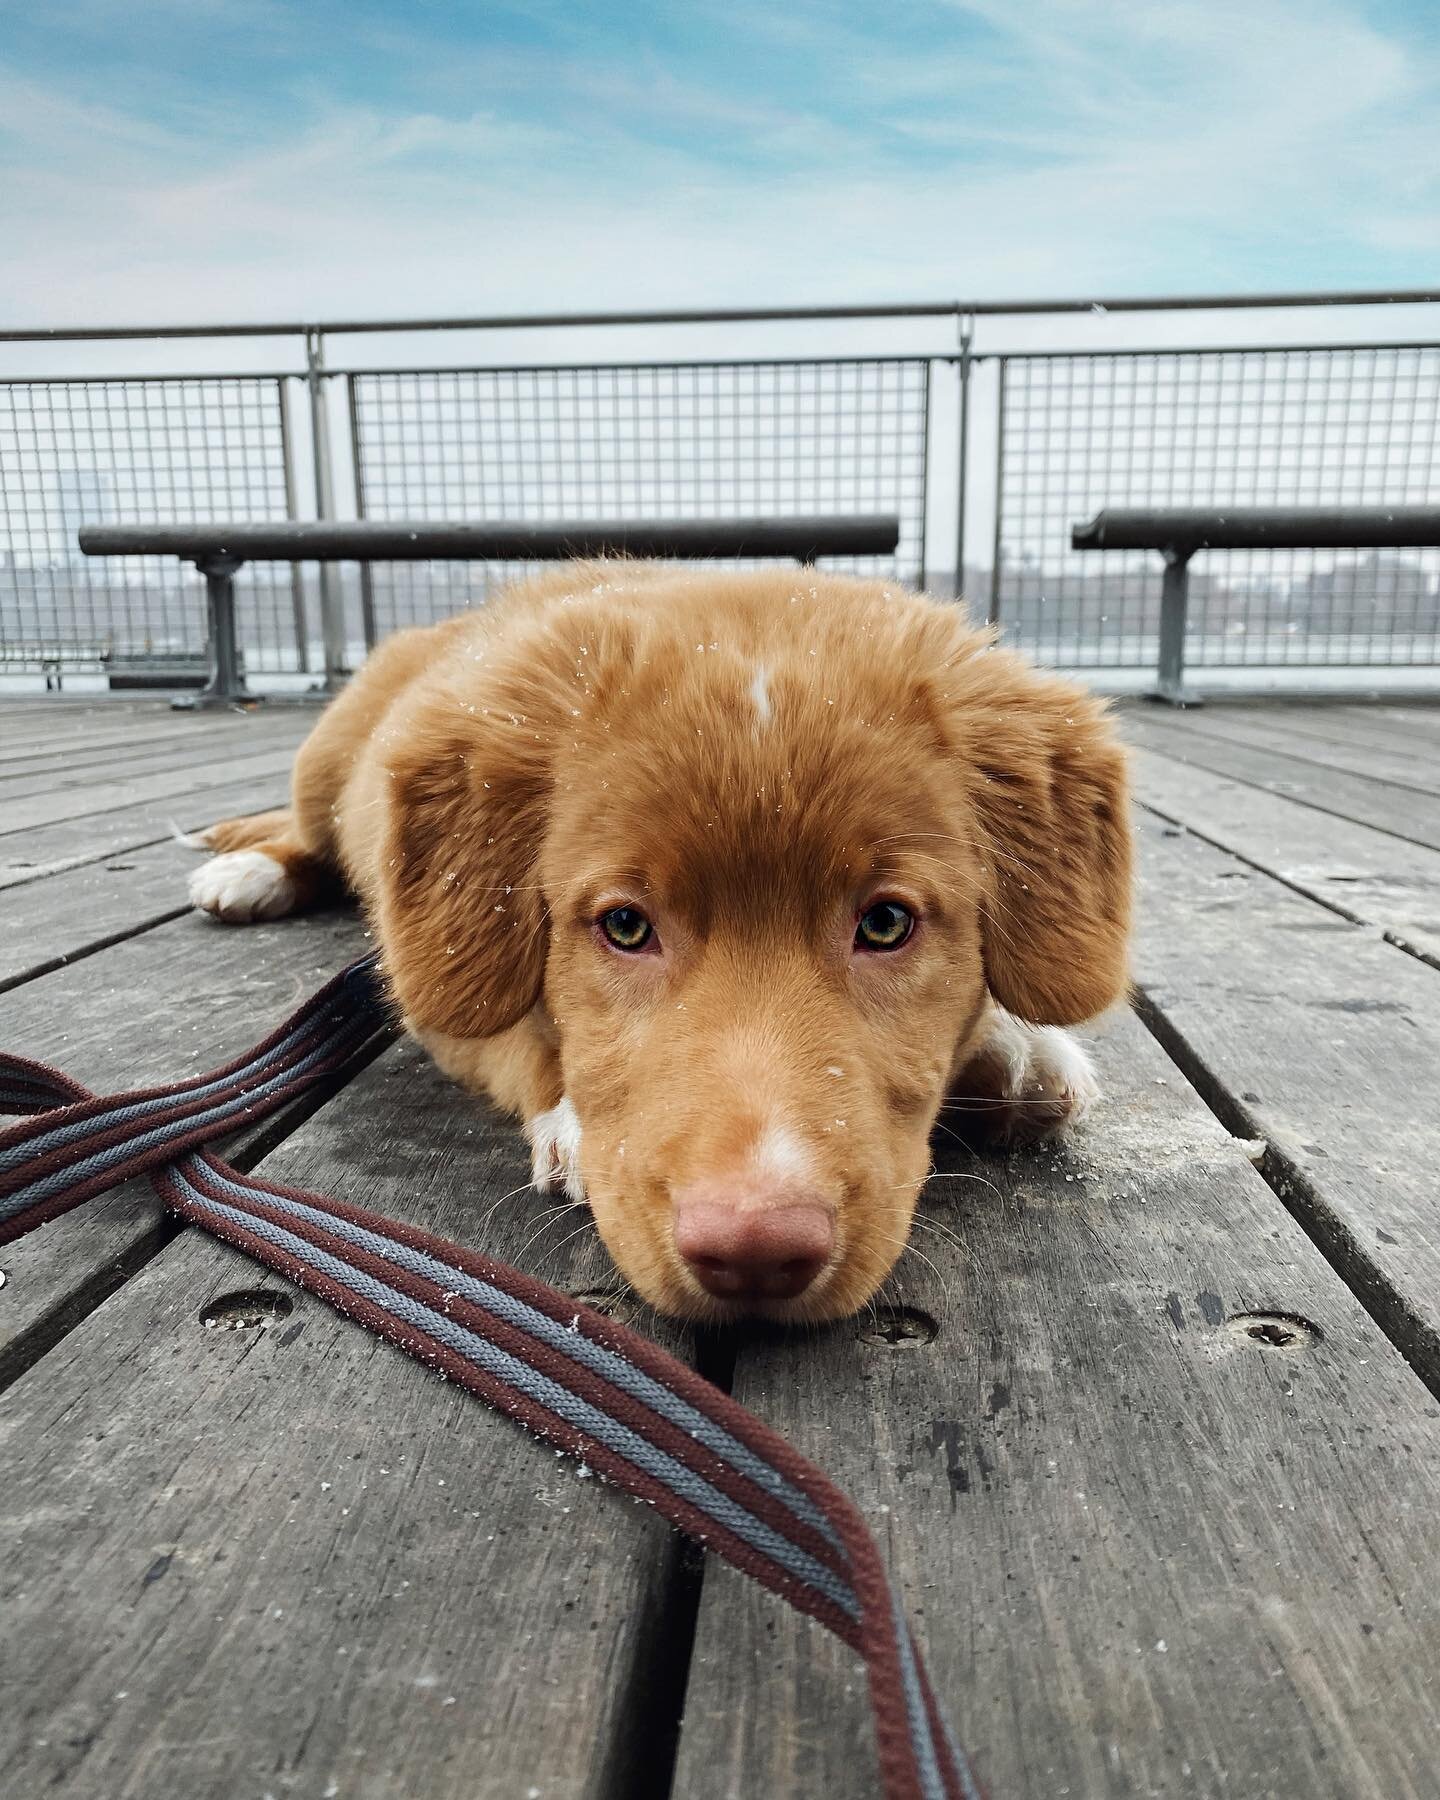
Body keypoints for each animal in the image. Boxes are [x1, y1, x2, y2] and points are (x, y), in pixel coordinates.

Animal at [188, 561, 1137, 1324]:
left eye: (885, 924)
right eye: (626, 926)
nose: (755, 1254)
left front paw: (1016, 1046)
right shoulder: (424, 976)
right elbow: (519, 1036)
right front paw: (575, 1124)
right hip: (329, 767)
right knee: (302, 833)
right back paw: (248, 872)